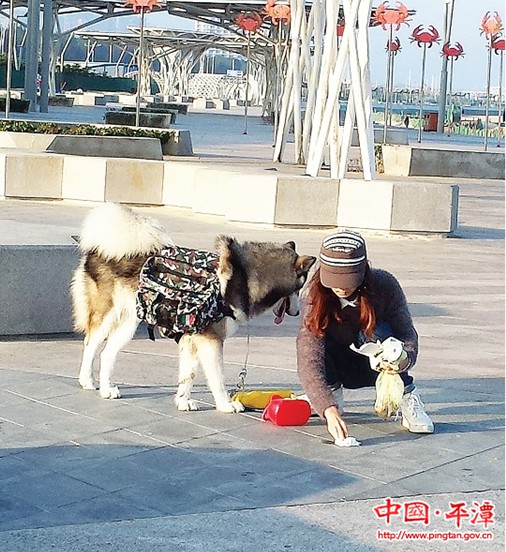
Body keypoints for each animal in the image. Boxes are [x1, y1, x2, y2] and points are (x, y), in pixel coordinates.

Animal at [71, 205, 316, 412]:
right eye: (300, 288)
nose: (297, 312)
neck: (244, 277)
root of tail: (101, 247)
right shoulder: (211, 340)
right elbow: (217, 377)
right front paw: (226, 404)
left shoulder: (192, 337)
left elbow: (188, 374)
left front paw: (182, 401)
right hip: (107, 315)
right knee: (90, 344)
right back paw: (87, 380)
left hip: (130, 322)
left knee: (107, 353)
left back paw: (106, 389)